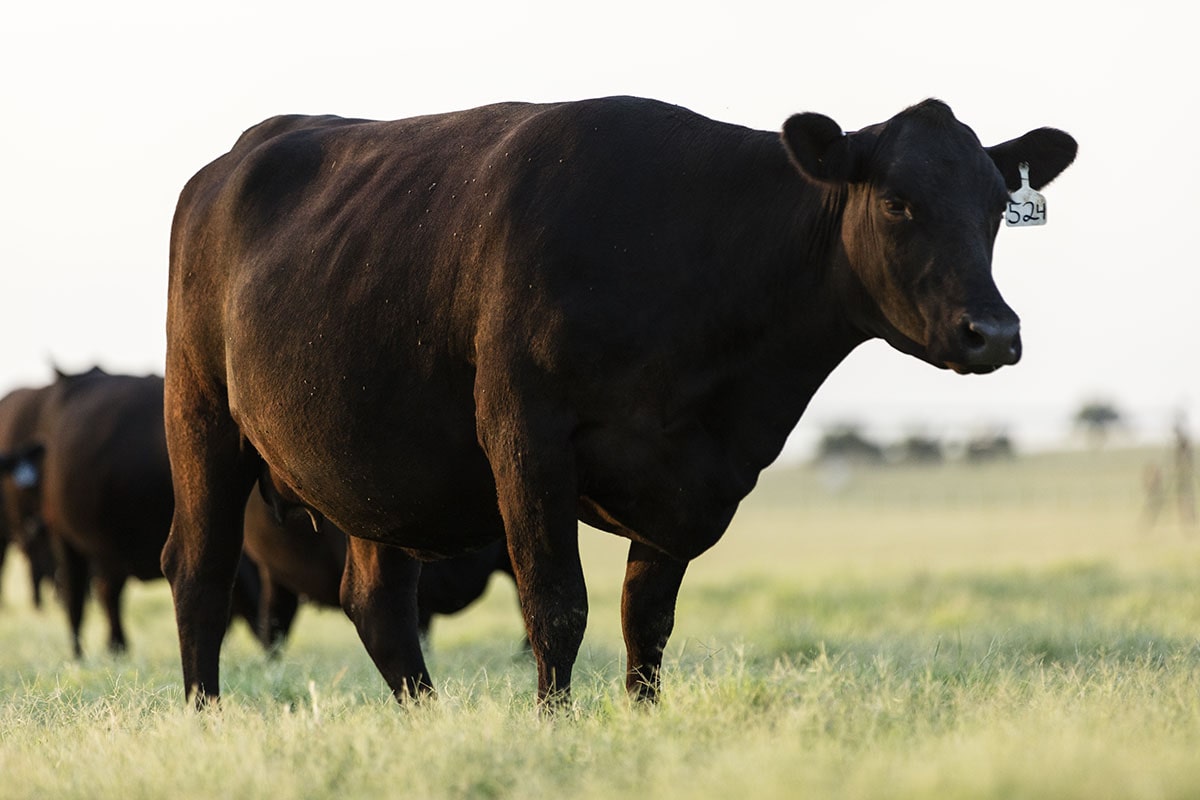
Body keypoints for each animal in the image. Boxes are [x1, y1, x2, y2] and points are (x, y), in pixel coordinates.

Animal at [161, 96, 1076, 708]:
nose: (992, 332)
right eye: (895, 202)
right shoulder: (526, 438)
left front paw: (643, 722)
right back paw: (208, 721)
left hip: (374, 470)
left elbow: (647, 619)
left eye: (998, 208)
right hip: (199, 414)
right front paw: (554, 729)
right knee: (200, 572)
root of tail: (234, 158)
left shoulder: (690, 476)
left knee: (379, 604)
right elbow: (557, 606)